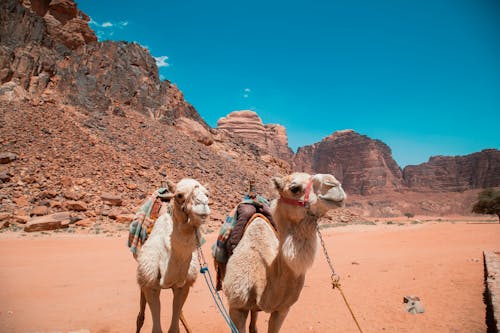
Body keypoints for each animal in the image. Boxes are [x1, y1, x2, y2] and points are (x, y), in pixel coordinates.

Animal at [135, 178, 209, 332]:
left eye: (207, 194)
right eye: (179, 195)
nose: (203, 205)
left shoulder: (183, 286)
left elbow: (175, 327)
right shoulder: (150, 286)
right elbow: (156, 329)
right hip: (143, 277)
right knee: (140, 315)